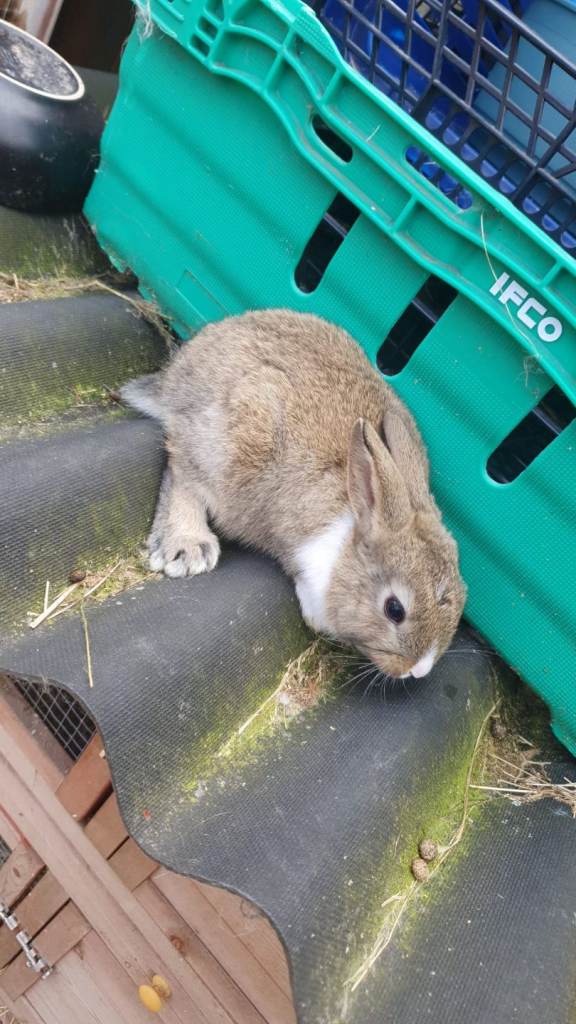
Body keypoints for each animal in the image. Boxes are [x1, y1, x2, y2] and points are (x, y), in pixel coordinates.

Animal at [121, 309, 466, 680]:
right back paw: (187, 545)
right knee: (180, 468)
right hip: (228, 442)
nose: (419, 670)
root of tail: (175, 376)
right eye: (394, 609)